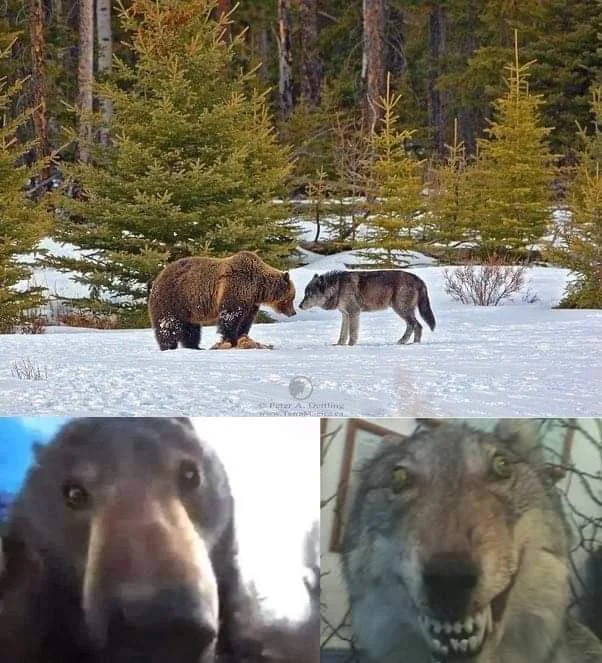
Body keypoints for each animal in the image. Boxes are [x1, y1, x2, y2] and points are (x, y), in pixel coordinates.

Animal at [148, 251, 296, 351]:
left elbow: (246, 321)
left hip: (188, 308)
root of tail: (158, 277)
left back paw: (195, 347)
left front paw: (241, 338)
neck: (258, 287)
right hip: (173, 298)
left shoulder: (251, 302)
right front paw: (229, 340)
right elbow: (230, 316)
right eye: (292, 297)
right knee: (168, 325)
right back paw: (168, 346)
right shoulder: (237, 287)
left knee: (191, 328)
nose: (293, 312)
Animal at [298, 270, 435, 345]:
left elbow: (352, 332)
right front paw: (339, 345)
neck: (338, 288)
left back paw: (404, 342)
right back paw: (414, 343)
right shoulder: (345, 314)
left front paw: (351, 345)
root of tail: (418, 279)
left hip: (401, 309)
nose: (299, 305)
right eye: (305, 294)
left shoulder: (354, 312)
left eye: (309, 294)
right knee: (418, 326)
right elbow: (343, 333)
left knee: (415, 325)